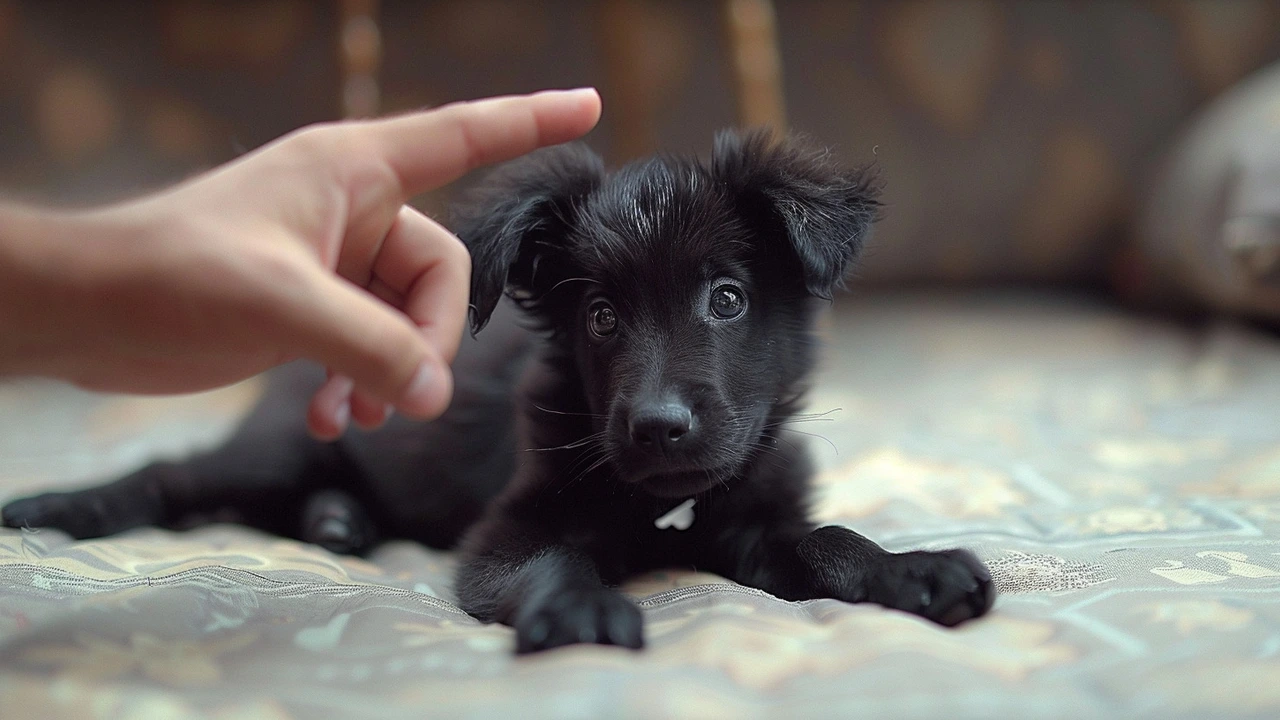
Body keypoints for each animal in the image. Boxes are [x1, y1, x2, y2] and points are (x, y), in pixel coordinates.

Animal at [0, 128, 993, 650]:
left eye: (728, 298)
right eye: (600, 316)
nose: (659, 426)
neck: (662, 508)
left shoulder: (756, 519)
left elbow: (827, 541)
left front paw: (916, 568)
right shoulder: (505, 531)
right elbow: (554, 559)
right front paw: (583, 607)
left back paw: (338, 521)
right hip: (278, 446)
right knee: (171, 476)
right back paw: (61, 504)